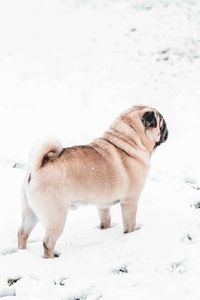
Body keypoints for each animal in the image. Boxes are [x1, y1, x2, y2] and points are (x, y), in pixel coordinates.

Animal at [17, 105, 168, 258]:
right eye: (161, 124)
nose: (167, 129)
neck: (128, 140)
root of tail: (37, 168)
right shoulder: (130, 201)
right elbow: (129, 224)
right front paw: (130, 235)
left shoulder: (103, 204)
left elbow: (105, 219)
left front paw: (105, 230)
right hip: (56, 217)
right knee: (47, 243)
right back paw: (51, 258)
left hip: (30, 214)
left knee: (22, 233)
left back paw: (21, 252)